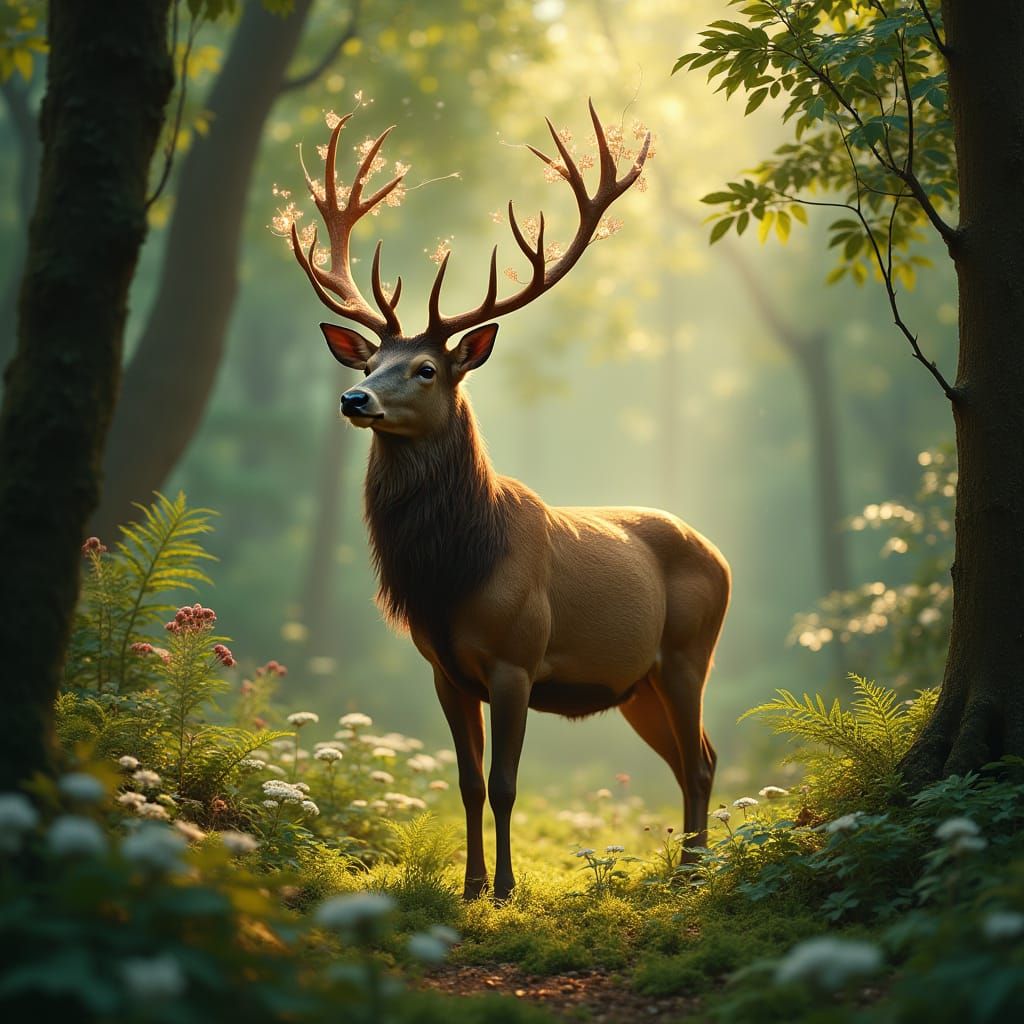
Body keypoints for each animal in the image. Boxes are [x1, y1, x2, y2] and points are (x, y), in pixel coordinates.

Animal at [287, 102, 731, 901]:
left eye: (426, 368)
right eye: (371, 361)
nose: (353, 398)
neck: (454, 571)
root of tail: (721, 555)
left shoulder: (518, 658)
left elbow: (505, 784)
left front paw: (505, 888)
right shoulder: (443, 668)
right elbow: (466, 782)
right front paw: (467, 886)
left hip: (689, 650)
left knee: (702, 758)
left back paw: (690, 874)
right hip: (637, 683)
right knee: (693, 758)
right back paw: (687, 866)